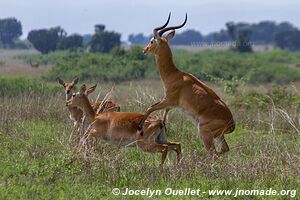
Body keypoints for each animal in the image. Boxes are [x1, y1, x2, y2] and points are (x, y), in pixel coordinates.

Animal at [139, 12, 236, 158]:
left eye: (152, 40)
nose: (145, 50)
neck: (173, 74)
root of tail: (232, 123)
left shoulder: (169, 100)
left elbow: (150, 108)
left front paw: (140, 128)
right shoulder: (171, 105)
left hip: (204, 133)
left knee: (213, 154)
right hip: (218, 136)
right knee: (224, 149)